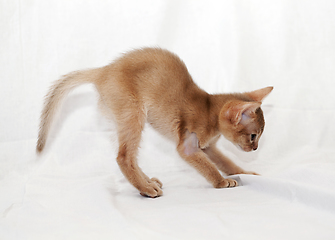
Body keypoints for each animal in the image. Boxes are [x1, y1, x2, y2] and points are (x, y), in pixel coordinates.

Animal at [36, 47, 272, 198]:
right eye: (253, 135)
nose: (255, 148)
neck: (208, 108)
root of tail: (104, 70)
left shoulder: (208, 147)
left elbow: (226, 162)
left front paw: (247, 173)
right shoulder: (188, 146)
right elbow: (209, 168)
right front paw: (222, 182)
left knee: (130, 156)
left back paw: (147, 183)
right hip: (134, 114)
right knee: (124, 157)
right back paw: (146, 188)